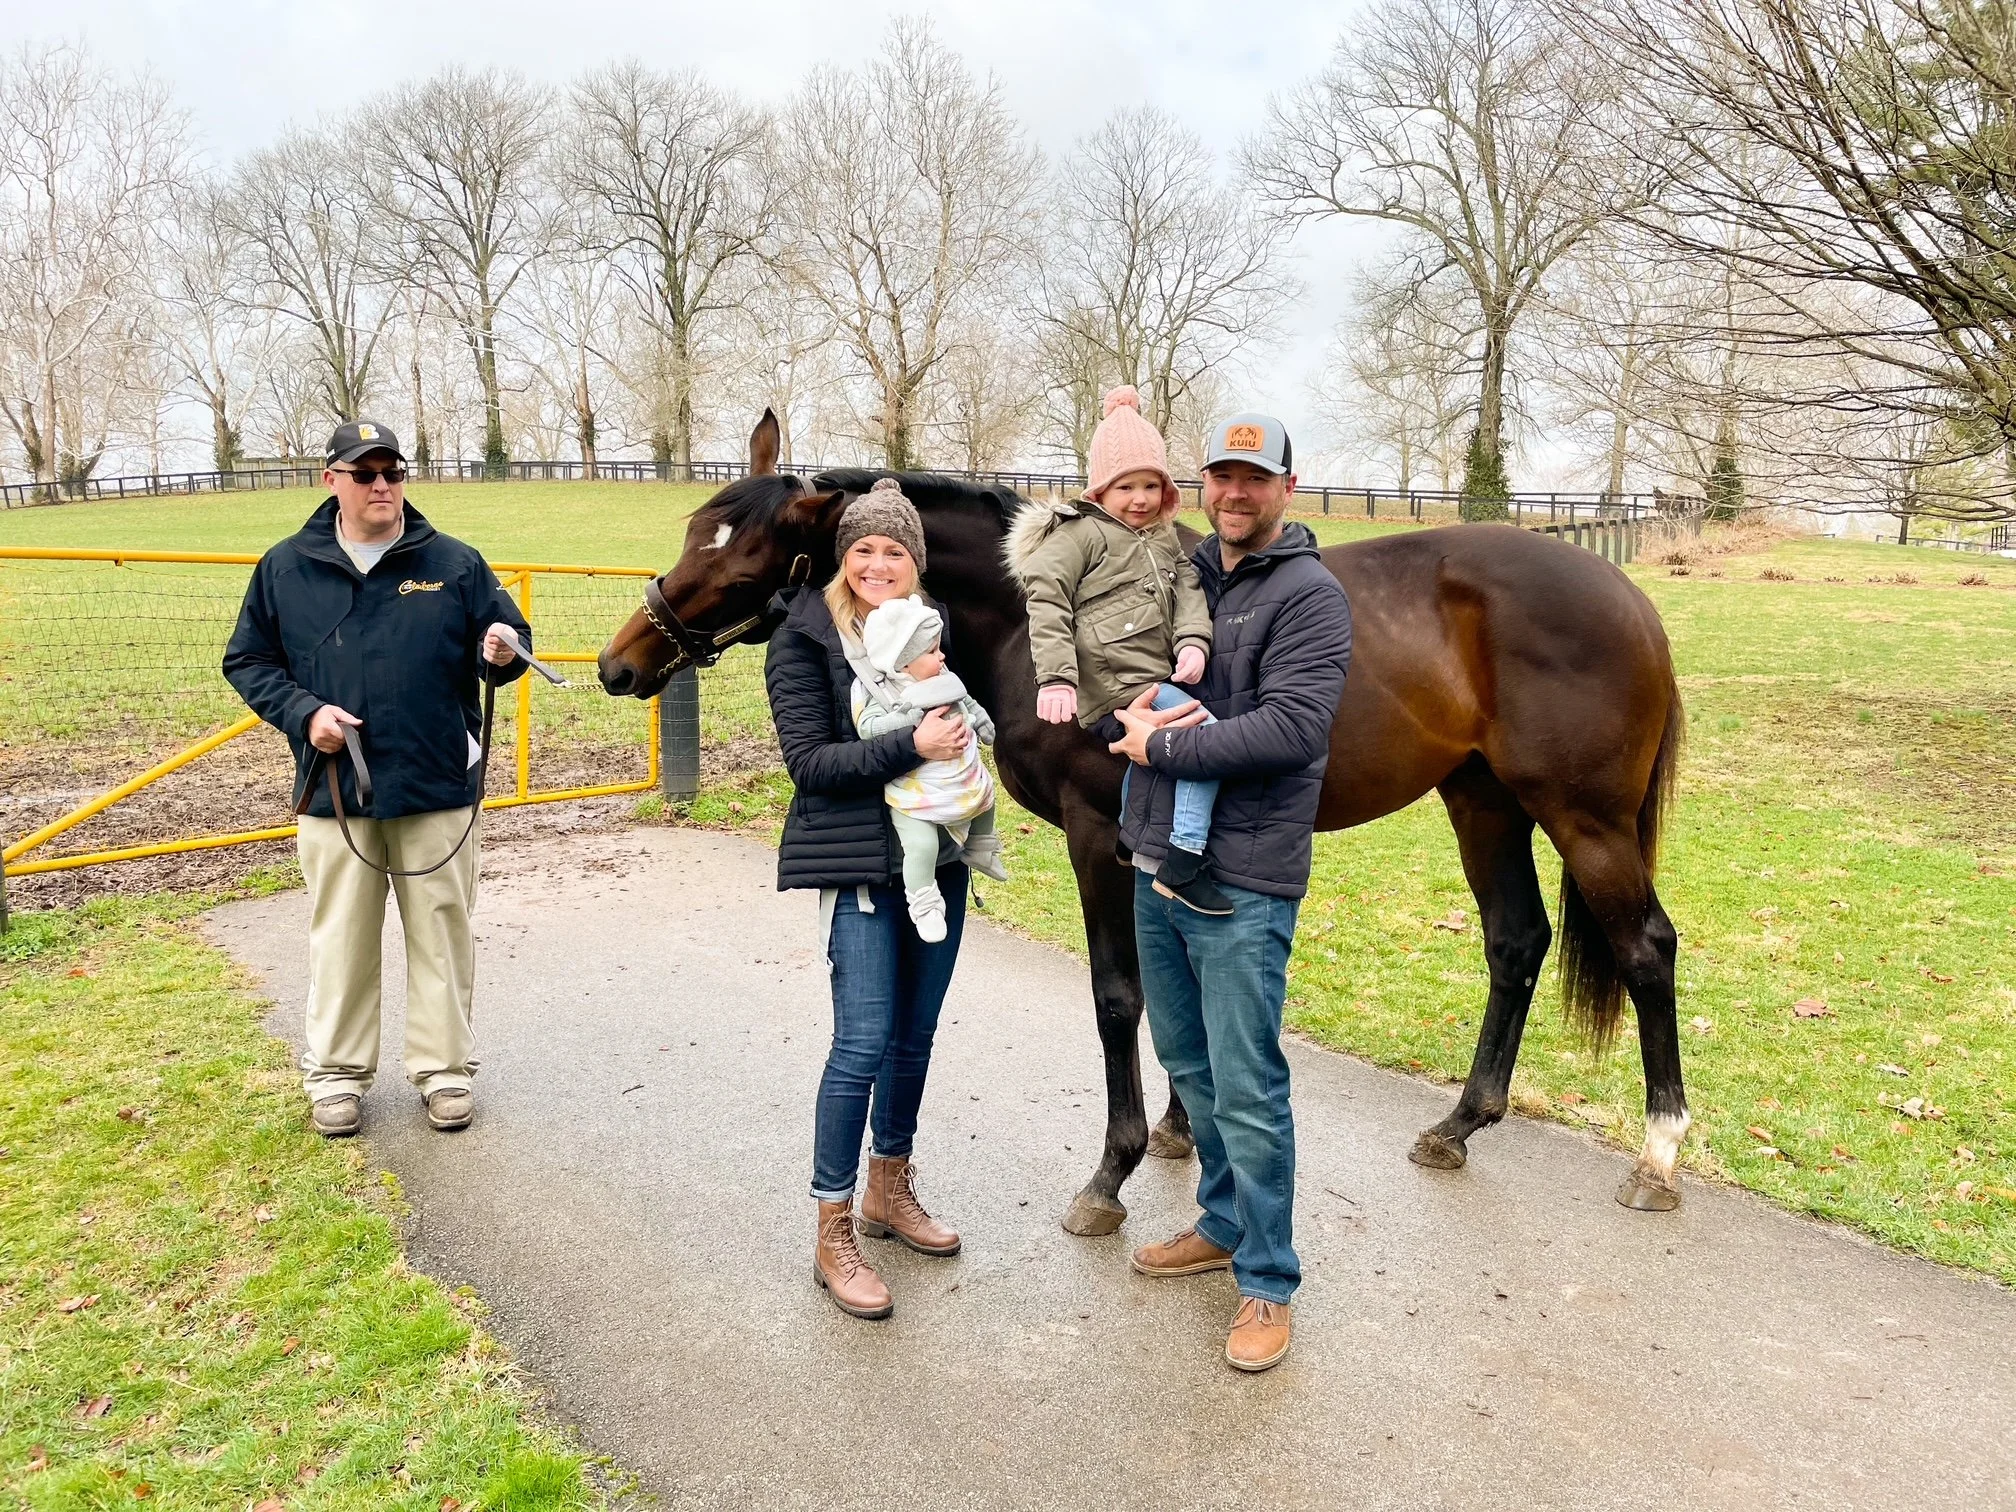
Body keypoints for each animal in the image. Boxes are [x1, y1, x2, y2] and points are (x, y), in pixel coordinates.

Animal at [597, 412, 1690, 1235]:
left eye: (748, 554)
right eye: (696, 531)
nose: (621, 662)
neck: (1026, 616)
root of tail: (1627, 596)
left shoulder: (1097, 836)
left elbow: (1121, 996)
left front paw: (1113, 1171)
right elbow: (1174, 992)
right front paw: (1182, 1129)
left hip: (1583, 818)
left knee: (1646, 949)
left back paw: (1658, 1155)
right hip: (1483, 803)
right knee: (1516, 943)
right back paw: (1461, 1124)